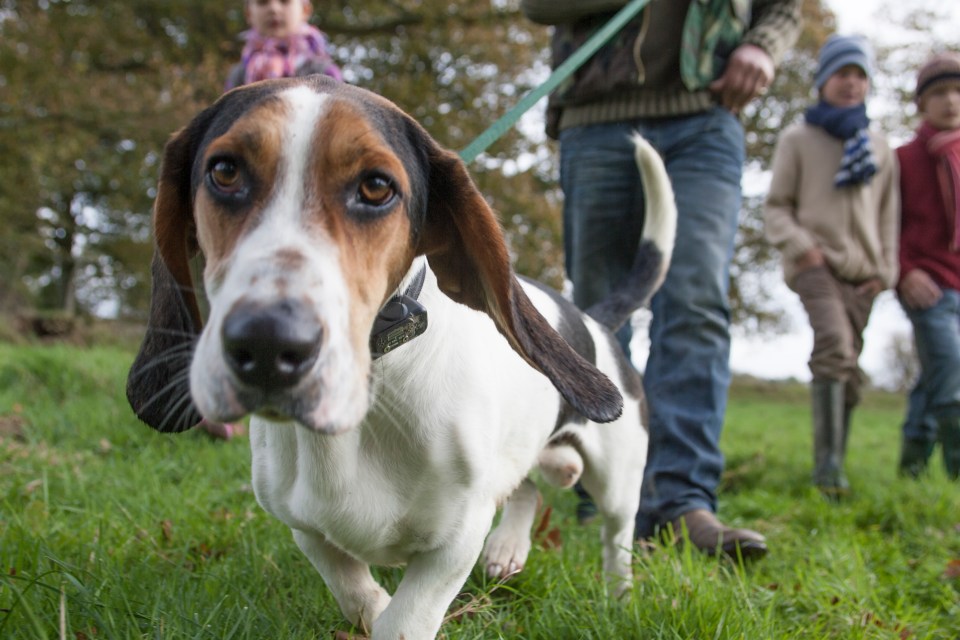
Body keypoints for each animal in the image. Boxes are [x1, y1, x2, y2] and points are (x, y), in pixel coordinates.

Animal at [127, 76, 680, 640]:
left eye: (376, 187)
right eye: (225, 171)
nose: (266, 343)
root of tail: (592, 320)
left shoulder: (455, 541)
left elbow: (404, 620)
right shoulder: (303, 523)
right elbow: (350, 584)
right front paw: (370, 604)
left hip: (616, 482)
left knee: (615, 538)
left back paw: (618, 597)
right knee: (526, 490)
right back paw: (509, 549)